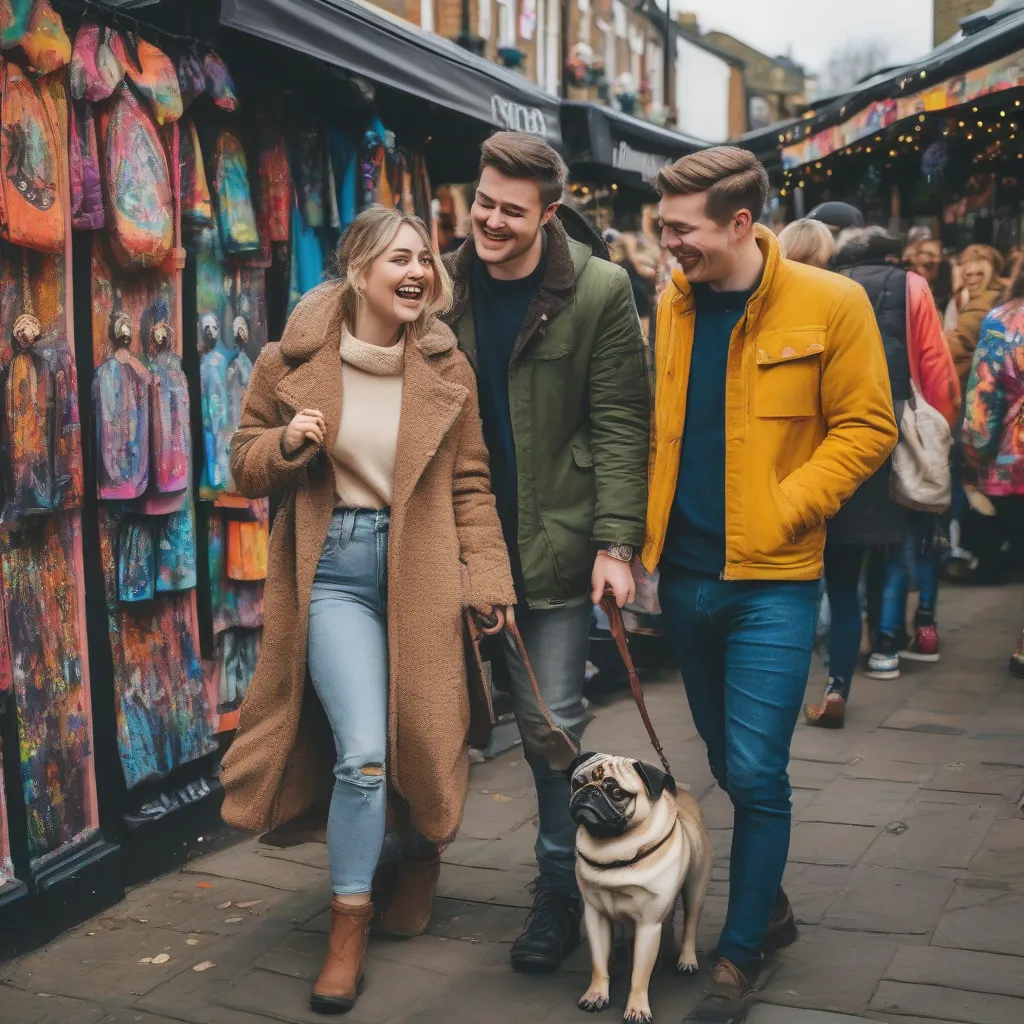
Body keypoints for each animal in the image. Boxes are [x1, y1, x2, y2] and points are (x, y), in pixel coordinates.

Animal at [569, 749, 712, 1019]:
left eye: (617, 793)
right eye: (577, 783)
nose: (589, 791)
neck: (613, 851)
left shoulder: (648, 925)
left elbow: (640, 973)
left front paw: (637, 1008)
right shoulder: (596, 916)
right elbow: (598, 962)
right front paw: (596, 994)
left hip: (695, 886)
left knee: (691, 922)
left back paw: (687, 960)